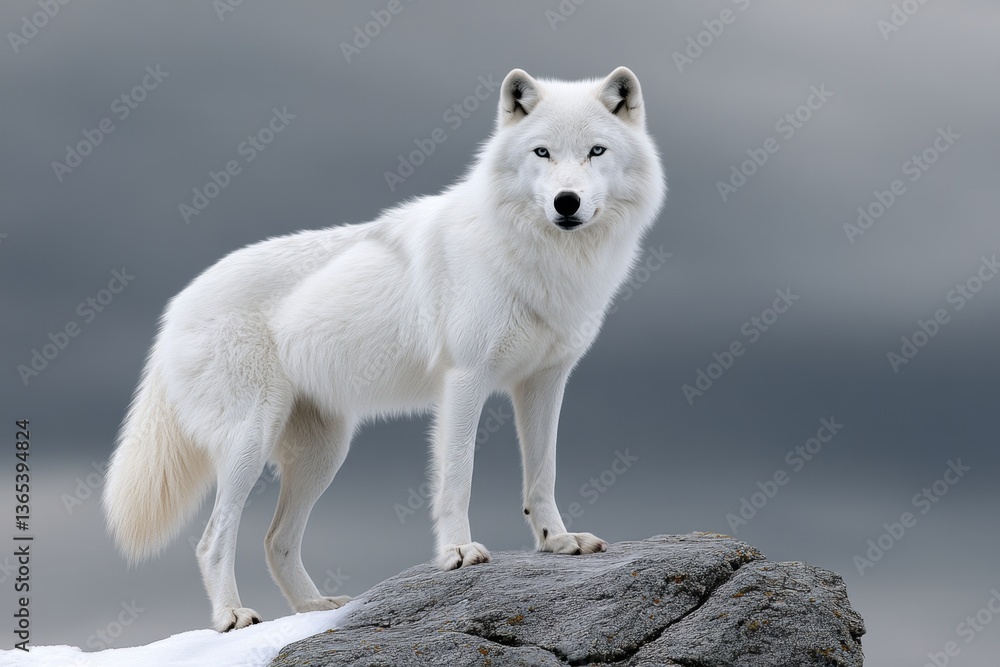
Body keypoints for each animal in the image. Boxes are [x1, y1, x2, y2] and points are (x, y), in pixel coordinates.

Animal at [102, 67, 666, 632]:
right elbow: (457, 476)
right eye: (542, 152)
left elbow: (542, 474)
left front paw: (557, 541)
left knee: (274, 540)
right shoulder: (466, 378)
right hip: (251, 441)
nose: (566, 202)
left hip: (323, 456)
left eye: (595, 151)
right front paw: (458, 552)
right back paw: (232, 616)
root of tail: (176, 307)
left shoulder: (544, 382)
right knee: (212, 539)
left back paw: (316, 609)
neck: (543, 260)